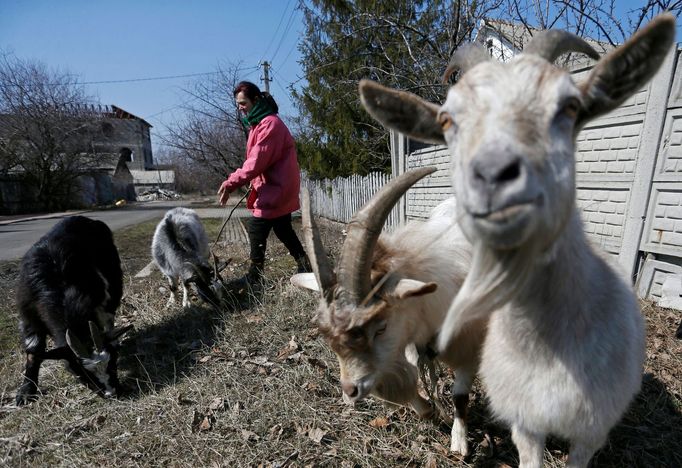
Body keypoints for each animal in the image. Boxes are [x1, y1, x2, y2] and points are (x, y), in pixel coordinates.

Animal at [15, 218, 131, 404]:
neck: (59, 286)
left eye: (112, 362)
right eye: (81, 374)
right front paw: (26, 392)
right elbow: (33, 351)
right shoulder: (28, 315)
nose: (111, 393)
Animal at [290, 167, 486, 454]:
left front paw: (459, 443)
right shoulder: (408, 341)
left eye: (380, 328)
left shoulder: (469, 347)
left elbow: (460, 396)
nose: (351, 391)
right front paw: (428, 410)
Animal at [358, 14, 672, 468]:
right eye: (447, 120)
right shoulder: (525, 421)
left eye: (569, 106)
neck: (549, 349)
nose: (492, 176)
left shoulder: (591, 430)